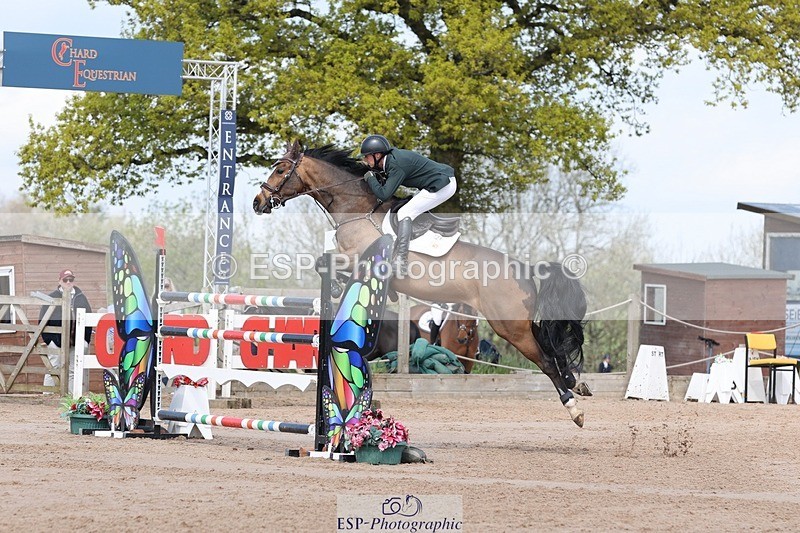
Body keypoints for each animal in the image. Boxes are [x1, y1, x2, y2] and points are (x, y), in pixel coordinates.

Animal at [253, 141, 588, 426]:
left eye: (280, 169)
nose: (258, 203)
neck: (356, 210)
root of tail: (527, 269)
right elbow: (324, 262)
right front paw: (337, 287)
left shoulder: (360, 258)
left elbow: (324, 261)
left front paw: (336, 285)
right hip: (519, 323)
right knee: (551, 347)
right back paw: (577, 382)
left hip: (509, 326)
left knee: (546, 360)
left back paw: (574, 408)